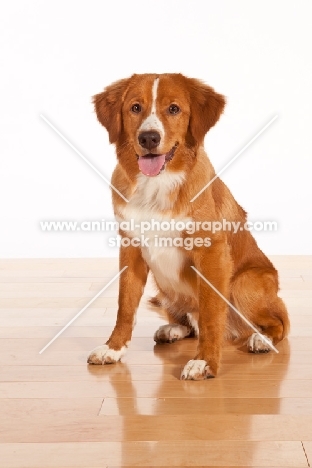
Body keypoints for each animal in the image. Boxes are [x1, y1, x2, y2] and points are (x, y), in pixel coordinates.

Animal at [86, 73, 290, 380]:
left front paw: (205, 362)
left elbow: (211, 314)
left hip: (245, 283)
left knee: (280, 321)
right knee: (189, 321)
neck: (157, 185)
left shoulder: (211, 252)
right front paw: (113, 348)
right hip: (163, 286)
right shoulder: (130, 248)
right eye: (135, 108)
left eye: (173, 109)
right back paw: (173, 329)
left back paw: (261, 339)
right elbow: (125, 306)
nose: (149, 137)